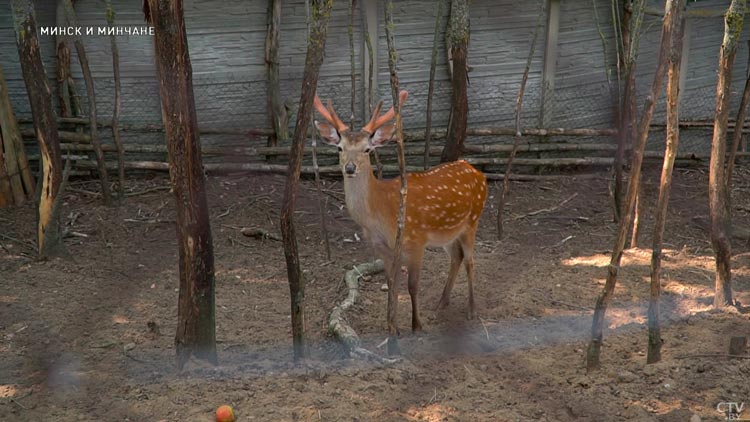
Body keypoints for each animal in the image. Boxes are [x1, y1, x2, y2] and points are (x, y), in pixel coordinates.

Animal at [314, 89, 490, 336]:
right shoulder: (381, 248)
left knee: (470, 261)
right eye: (340, 148)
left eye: (367, 149)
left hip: (472, 221)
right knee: (457, 257)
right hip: (448, 233)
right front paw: (392, 328)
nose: (349, 168)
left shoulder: (416, 240)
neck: (381, 215)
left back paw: (471, 310)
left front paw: (416, 326)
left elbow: (412, 286)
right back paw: (441, 304)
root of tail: (478, 172)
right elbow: (392, 284)